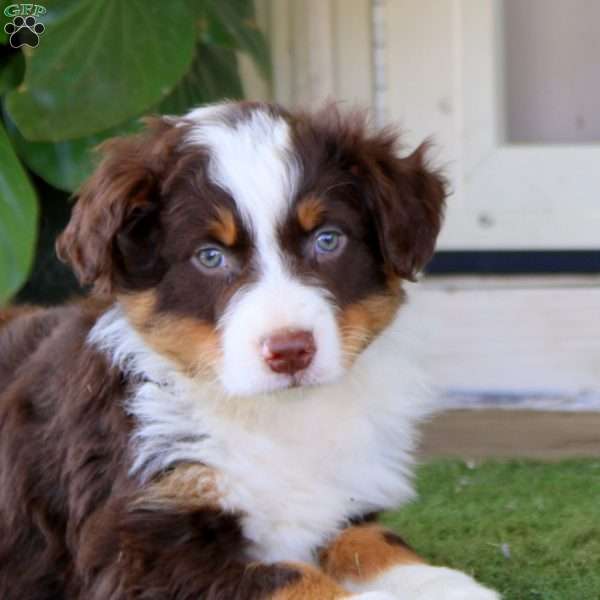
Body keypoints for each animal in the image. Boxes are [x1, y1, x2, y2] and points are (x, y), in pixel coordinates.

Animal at [0, 103, 496, 600]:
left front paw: (445, 584)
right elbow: (291, 577)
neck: (276, 413)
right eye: (210, 256)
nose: (291, 351)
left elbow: (373, 540)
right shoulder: (132, 552)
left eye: (328, 240)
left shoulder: (345, 500)